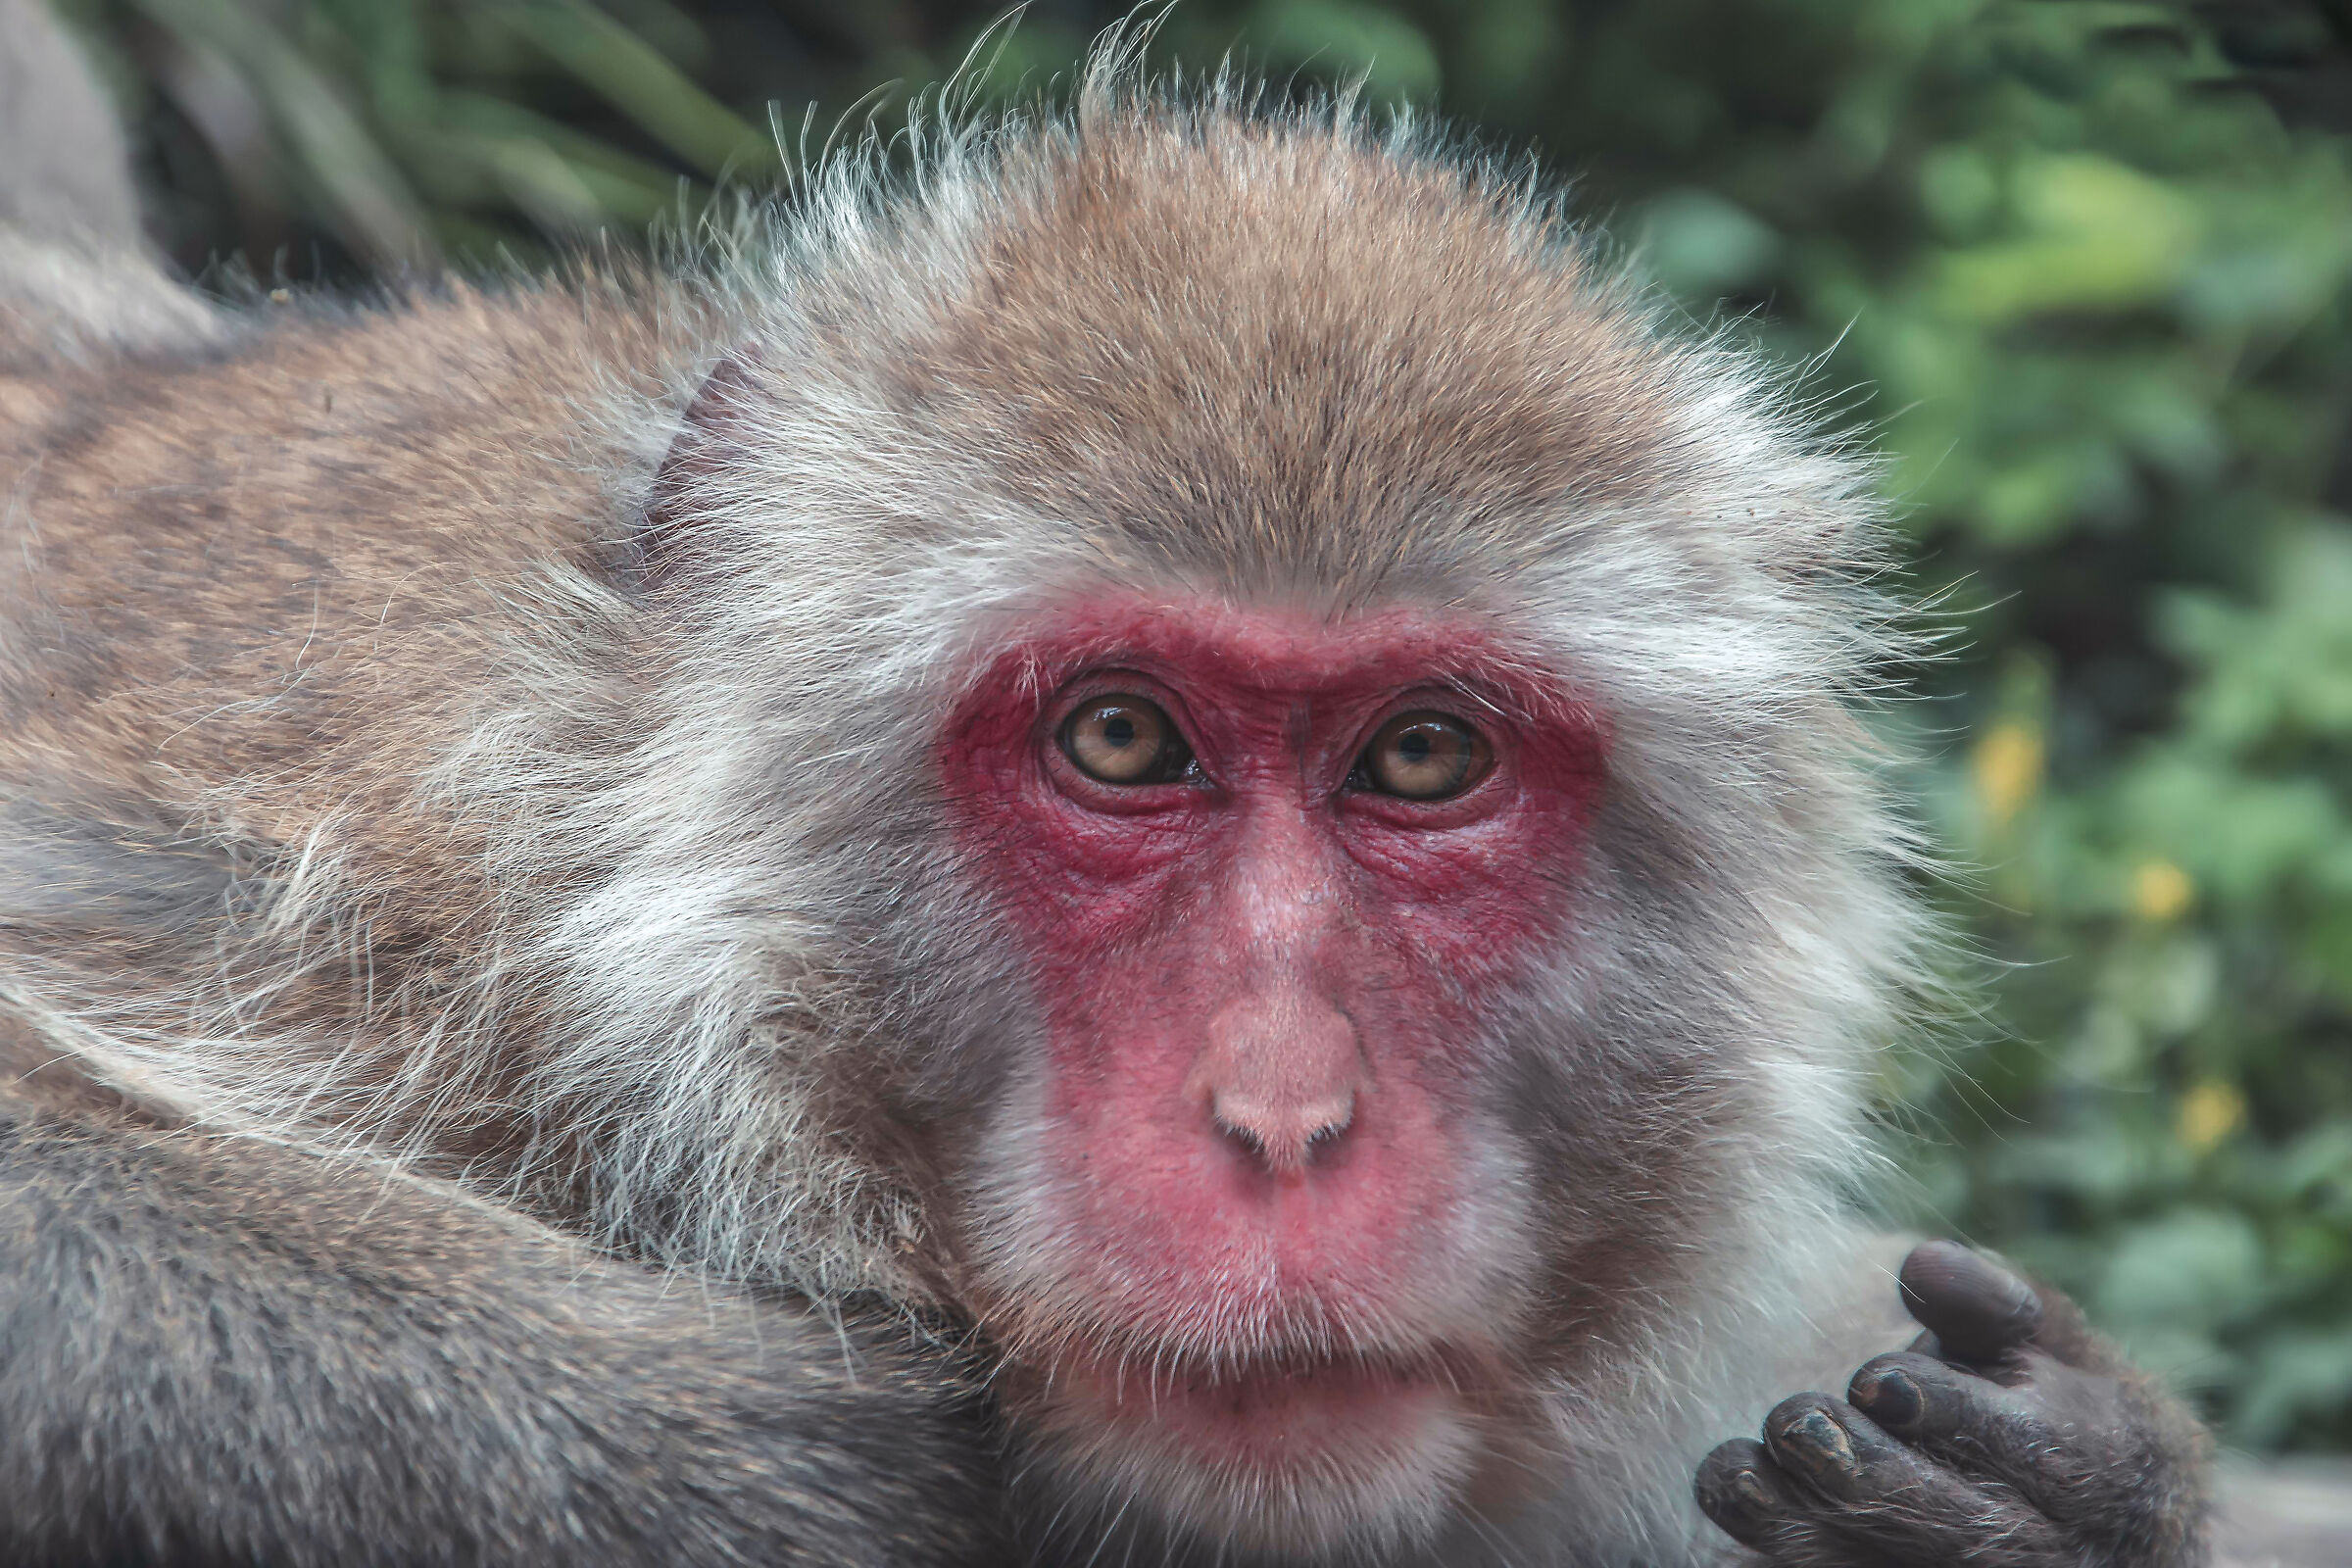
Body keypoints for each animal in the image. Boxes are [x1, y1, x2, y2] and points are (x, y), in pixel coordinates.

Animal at [0, 3, 2217, 1564]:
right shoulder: (340, 946)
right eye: (1122, 739)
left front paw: (2055, 1501)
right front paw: (754, 1450)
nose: (1285, 1119)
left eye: (1425, 755)